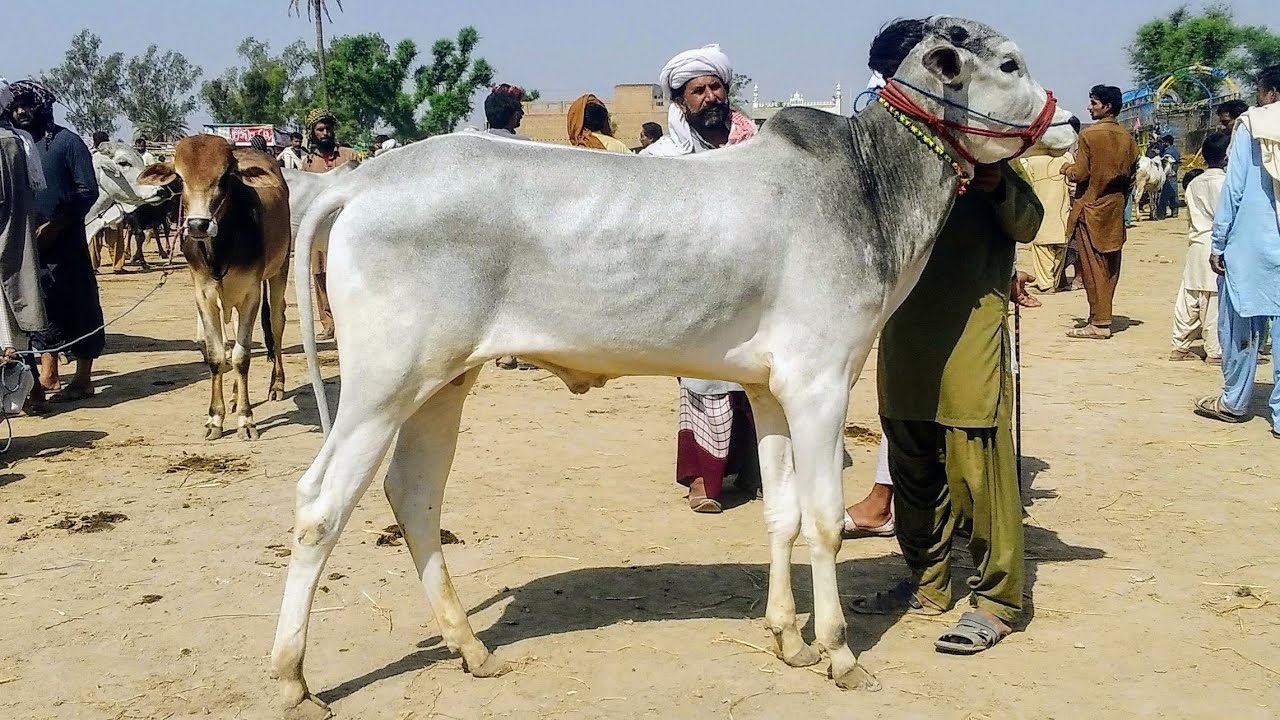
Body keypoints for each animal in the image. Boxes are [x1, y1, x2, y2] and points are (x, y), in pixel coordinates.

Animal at [138, 135, 291, 440]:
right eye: (180, 178)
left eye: (225, 177)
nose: (198, 224)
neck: (220, 249)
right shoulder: (204, 296)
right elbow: (217, 356)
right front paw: (215, 418)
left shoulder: (251, 294)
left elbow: (242, 357)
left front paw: (246, 420)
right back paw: (233, 397)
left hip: (279, 270)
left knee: (276, 324)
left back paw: (276, 385)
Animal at [270, 16, 1076, 714]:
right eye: (1009, 65)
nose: (1069, 123)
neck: (869, 185)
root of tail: (361, 182)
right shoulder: (819, 383)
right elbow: (824, 521)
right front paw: (839, 654)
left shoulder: (772, 391)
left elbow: (782, 514)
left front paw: (788, 640)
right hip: (381, 388)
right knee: (318, 505)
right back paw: (294, 681)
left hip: (443, 383)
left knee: (413, 496)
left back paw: (470, 647)